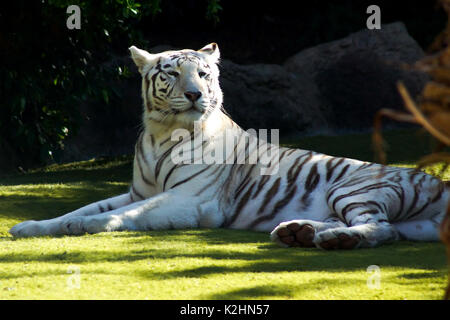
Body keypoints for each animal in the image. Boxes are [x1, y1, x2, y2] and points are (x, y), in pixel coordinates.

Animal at [8, 43, 448, 250]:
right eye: (172, 73)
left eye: (203, 73)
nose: (194, 94)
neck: (163, 133)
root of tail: (439, 183)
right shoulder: (138, 192)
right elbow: (84, 207)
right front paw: (29, 226)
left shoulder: (189, 198)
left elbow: (114, 216)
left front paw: (77, 228)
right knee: (381, 226)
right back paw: (299, 232)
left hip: (353, 188)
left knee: (383, 228)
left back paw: (333, 240)